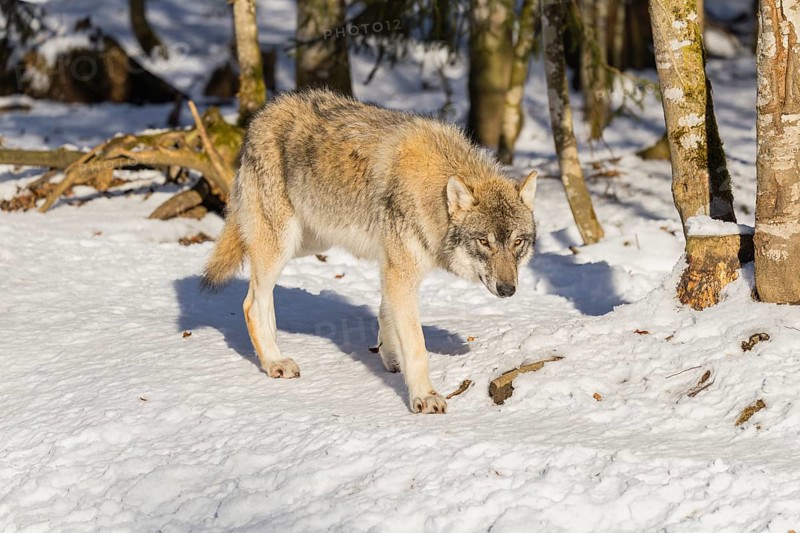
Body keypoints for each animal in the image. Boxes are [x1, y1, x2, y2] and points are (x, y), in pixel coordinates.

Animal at [202, 89, 537, 414]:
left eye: (517, 242)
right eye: (484, 242)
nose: (507, 289)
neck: (431, 193)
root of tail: (260, 116)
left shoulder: (392, 267)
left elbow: (385, 313)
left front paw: (390, 357)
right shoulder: (400, 272)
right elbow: (416, 346)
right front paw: (424, 397)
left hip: (307, 242)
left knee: (261, 291)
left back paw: (274, 353)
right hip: (283, 241)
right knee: (251, 303)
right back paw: (274, 361)